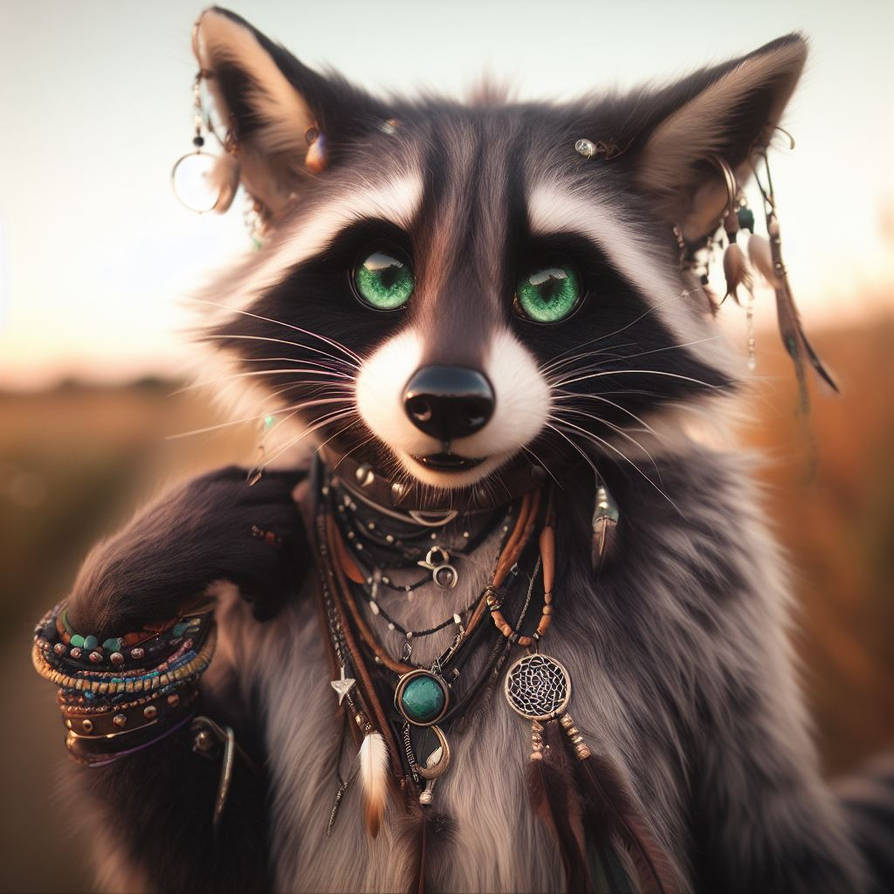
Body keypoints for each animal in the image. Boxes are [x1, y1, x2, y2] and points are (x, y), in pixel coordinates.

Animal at [37, 7, 892, 893]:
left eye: (549, 290)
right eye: (382, 275)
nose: (446, 400)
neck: (438, 528)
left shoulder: (718, 591)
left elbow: (769, 832)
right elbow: (210, 853)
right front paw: (132, 576)